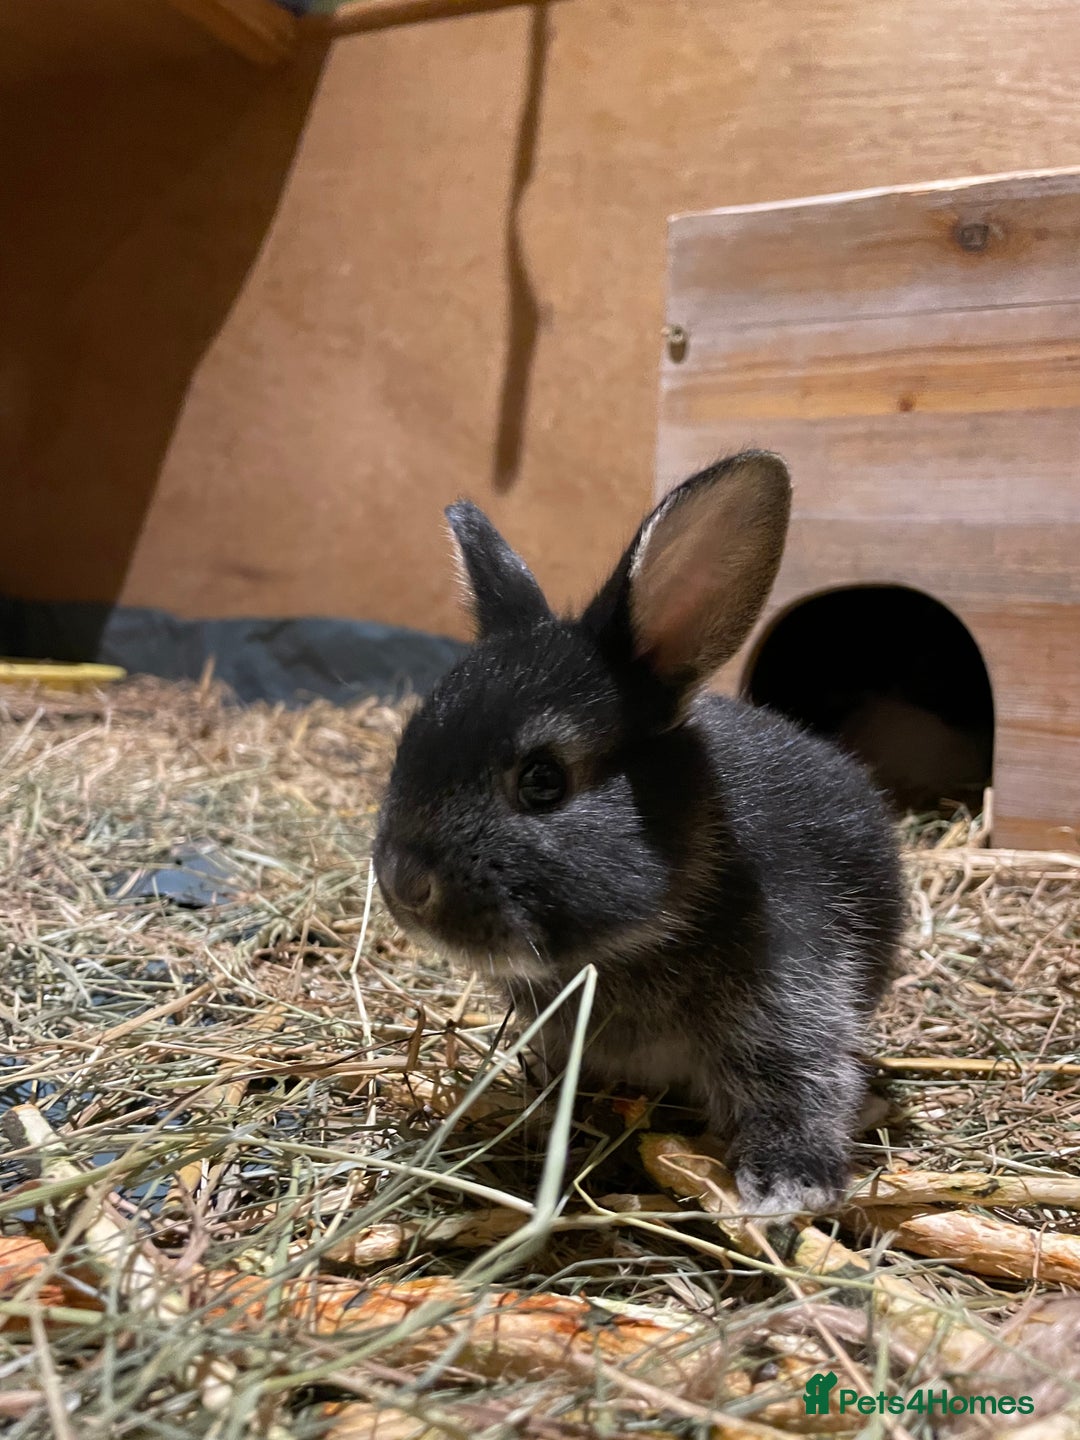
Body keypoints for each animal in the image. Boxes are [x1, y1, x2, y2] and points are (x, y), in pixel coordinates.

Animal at [374, 451, 906, 1218]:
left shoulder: (794, 1000)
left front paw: (788, 1186)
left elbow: (796, 1082)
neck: (634, 941)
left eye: (544, 780)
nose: (402, 882)